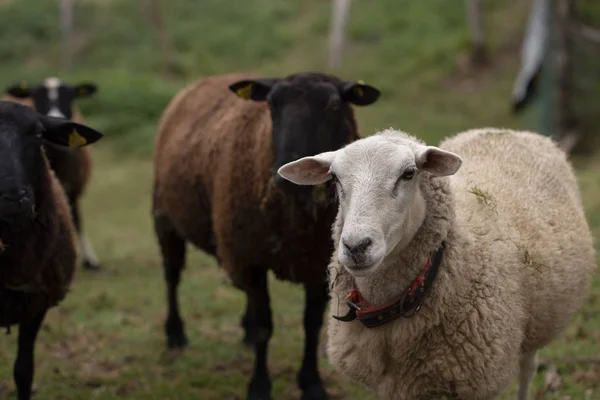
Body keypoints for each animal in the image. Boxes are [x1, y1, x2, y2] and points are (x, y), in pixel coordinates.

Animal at [154, 72, 380, 400]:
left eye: (335, 105)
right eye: (271, 105)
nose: (288, 174)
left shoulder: (316, 263)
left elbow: (311, 324)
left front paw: (311, 383)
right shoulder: (251, 259)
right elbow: (265, 326)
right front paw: (259, 385)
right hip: (166, 216)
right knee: (172, 276)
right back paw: (175, 334)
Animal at [278, 128, 596, 400]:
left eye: (408, 173)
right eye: (335, 179)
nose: (356, 246)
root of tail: (511, 132)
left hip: (537, 325)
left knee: (528, 370)